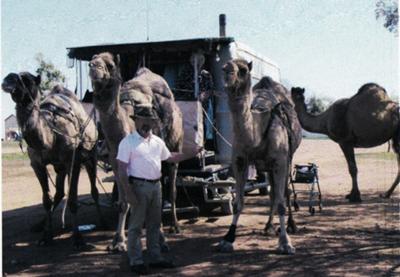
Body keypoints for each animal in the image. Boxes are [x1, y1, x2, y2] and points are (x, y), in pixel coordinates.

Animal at [1, 71, 101, 248]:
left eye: (27, 80)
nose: (8, 79)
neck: (51, 135)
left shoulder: (73, 161)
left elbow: (73, 200)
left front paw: (78, 238)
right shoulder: (37, 164)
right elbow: (46, 200)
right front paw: (46, 236)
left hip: (91, 155)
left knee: (94, 189)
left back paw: (103, 221)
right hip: (59, 167)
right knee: (59, 192)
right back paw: (40, 225)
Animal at [88, 52, 184, 251]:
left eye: (110, 65)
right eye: (91, 61)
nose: (94, 67)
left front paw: (159, 238)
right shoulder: (117, 162)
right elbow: (124, 203)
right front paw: (118, 241)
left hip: (175, 150)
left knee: (171, 190)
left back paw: (175, 226)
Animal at [217, 59, 302, 253]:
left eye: (243, 70)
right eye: (224, 67)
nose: (228, 74)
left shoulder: (280, 161)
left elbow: (281, 201)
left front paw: (285, 243)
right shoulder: (240, 161)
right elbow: (238, 202)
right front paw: (228, 238)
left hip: (288, 158)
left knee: (285, 192)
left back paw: (291, 225)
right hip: (267, 167)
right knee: (273, 194)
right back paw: (268, 226)